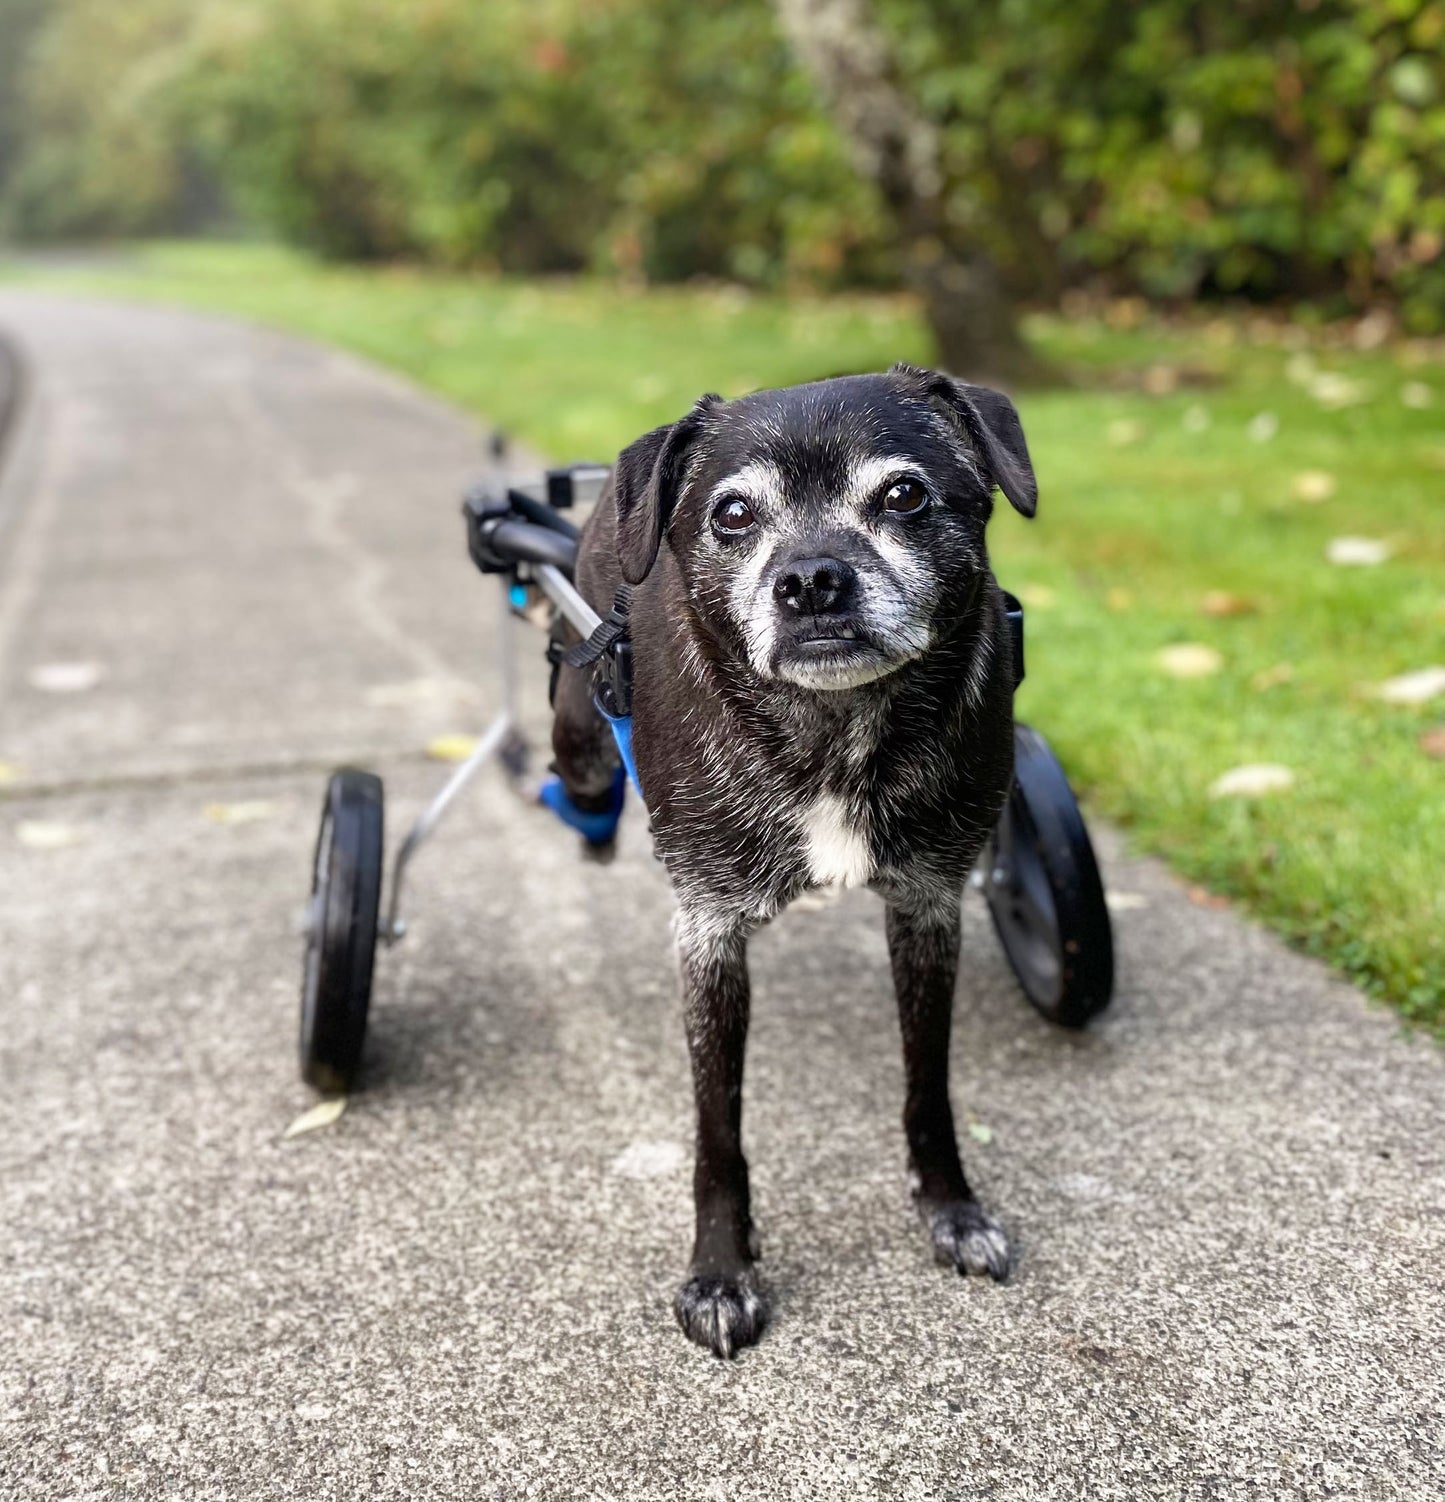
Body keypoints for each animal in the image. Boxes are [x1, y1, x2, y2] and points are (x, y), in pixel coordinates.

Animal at [552, 363, 1033, 1363]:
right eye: (732, 514)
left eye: (904, 495)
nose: (811, 580)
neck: (833, 732)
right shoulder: (708, 934)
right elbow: (717, 1128)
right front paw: (720, 1272)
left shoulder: (928, 909)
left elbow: (927, 1086)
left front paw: (952, 1210)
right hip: (578, 740)